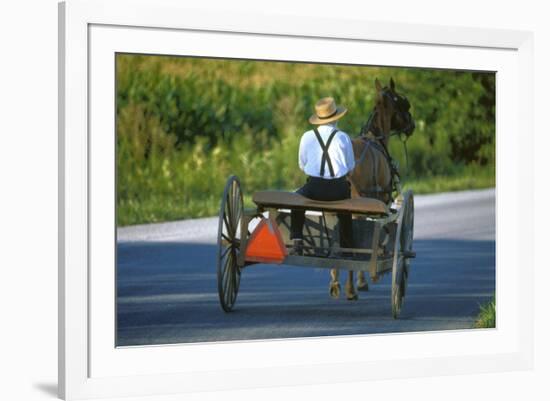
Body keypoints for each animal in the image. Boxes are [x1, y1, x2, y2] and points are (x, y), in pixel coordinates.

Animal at [330, 78, 416, 298]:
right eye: (404, 103)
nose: (411, 125)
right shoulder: (379, 202)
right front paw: (364, 280)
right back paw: (352, 288)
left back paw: (335, 281)